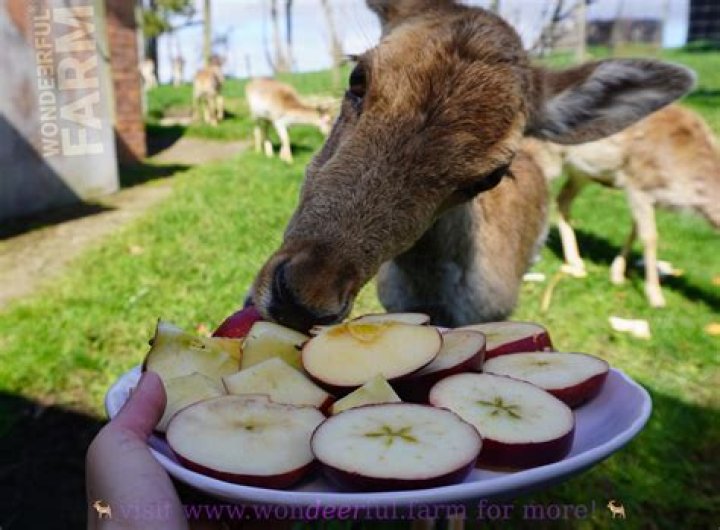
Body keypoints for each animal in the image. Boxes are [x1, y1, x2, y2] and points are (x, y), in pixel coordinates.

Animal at [523, 104, 719, 308]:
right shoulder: (637, 183)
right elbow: (649, 237)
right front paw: (655, 297)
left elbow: (635, 230)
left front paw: (617, 274)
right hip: (547, 154)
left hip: (582, 173)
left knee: (562, 200)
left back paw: (575, 262)